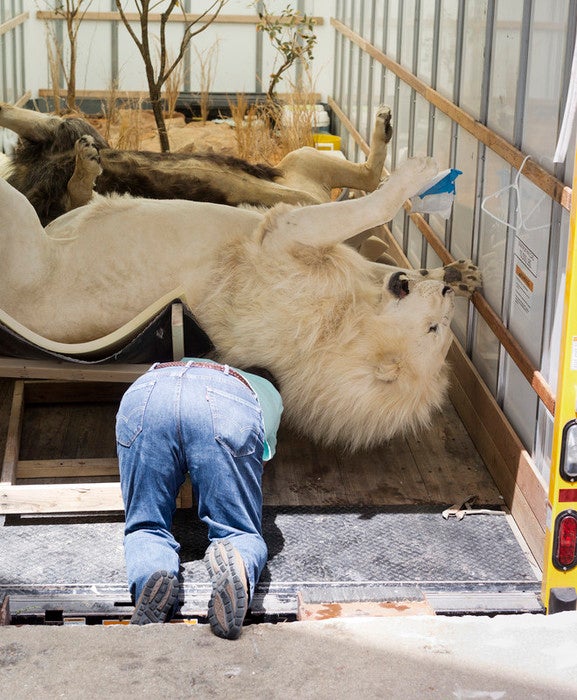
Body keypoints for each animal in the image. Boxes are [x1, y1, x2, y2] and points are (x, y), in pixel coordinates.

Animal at [0, 154, 480, 448]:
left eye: (434, 329)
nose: (445, 295)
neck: (345, 320)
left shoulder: (283, 234)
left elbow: (369, 210)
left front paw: (417, 176)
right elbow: (372, 232)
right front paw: (457, 271)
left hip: (19, 219)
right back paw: (86, 168)